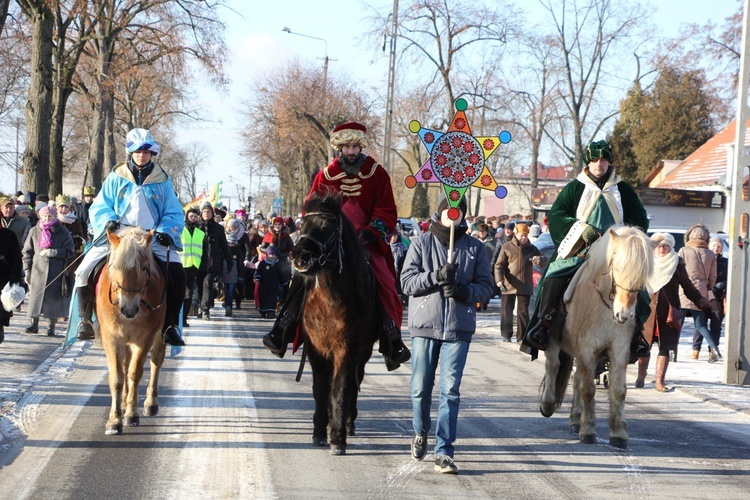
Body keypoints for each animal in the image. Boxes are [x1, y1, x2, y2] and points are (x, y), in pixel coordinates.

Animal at [96, 229, 168, 436]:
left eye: (144, 268)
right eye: (114, 266)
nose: (129, 309)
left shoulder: (144, 339)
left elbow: (135, 374)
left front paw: (130, 415)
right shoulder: (112, 339)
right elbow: (117, 377)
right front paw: (114, 420)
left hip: (159, 335)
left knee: (156, 361)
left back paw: (150, 403)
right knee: (125, 367)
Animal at [290, 193, 382, 456]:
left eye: (326, 226)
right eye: (302, 224)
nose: (299, 257)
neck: (330, 301)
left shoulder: (346, 349)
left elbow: (340, 388)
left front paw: (337, 438)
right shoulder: (315, 349)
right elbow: (321, 389)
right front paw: (319, 432)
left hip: (363, 353)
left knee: (353, 383)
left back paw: (348, 423)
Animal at [536, 227, 656, 450]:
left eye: (643, 275)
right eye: (617, 267)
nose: (624, 315)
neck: (604, 306)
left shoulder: (619, 349)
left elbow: (618, 390)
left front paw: (618, 434)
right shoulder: (586, 349)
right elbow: (588, 390)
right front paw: (588, 431)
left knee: (576, 378)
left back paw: (575, 420)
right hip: (554, 341)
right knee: (553, 367)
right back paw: (547, 405)